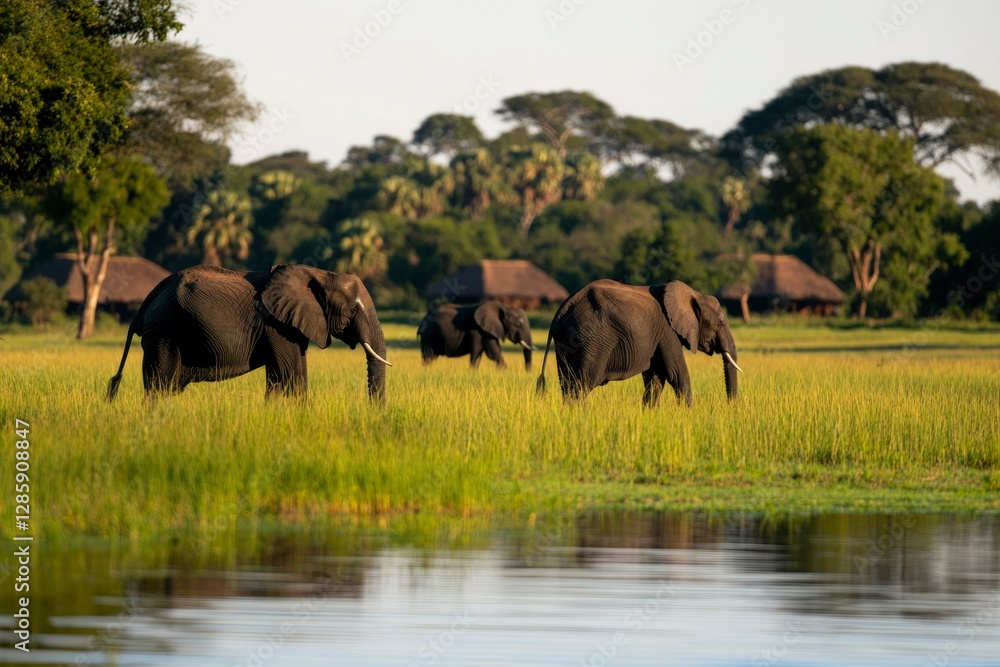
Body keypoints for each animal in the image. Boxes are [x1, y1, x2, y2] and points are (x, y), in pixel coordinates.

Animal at [106, 264, 391, 402]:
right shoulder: (276, 325)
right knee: (160, 385)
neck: (319, 273)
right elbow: (292, 376)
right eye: (352, 311)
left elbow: (282, 377)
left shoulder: (289, 324)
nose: (372, 412)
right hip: (164, 333)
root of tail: (146, 302)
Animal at [536, 279, 742, 406]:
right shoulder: (667, 331)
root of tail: (561, 311)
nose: (730, 407)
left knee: (567, 383)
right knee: (582, 384)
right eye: (719, 323)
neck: (694, 293)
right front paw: (689, 415)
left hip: (566, 343)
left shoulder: (658, 335)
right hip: (591, 339)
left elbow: (656, 378)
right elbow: (676, 373)